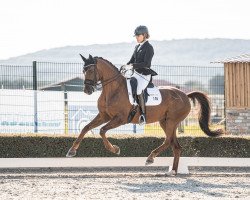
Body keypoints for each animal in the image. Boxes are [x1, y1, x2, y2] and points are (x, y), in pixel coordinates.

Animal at [65, 54, 224, 174]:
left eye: (91, 70)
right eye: (84, 70)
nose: (87, 90)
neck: (113, 89)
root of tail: (185, 94)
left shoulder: (120, 119)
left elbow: (102, 130)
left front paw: (115, 149)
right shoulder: (104, 116)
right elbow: (86, 128)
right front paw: (71, 151)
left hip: (171, 121)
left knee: (168, 141)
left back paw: (150, 158)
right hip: (165, 121)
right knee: (175, 146)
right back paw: (172, 171)